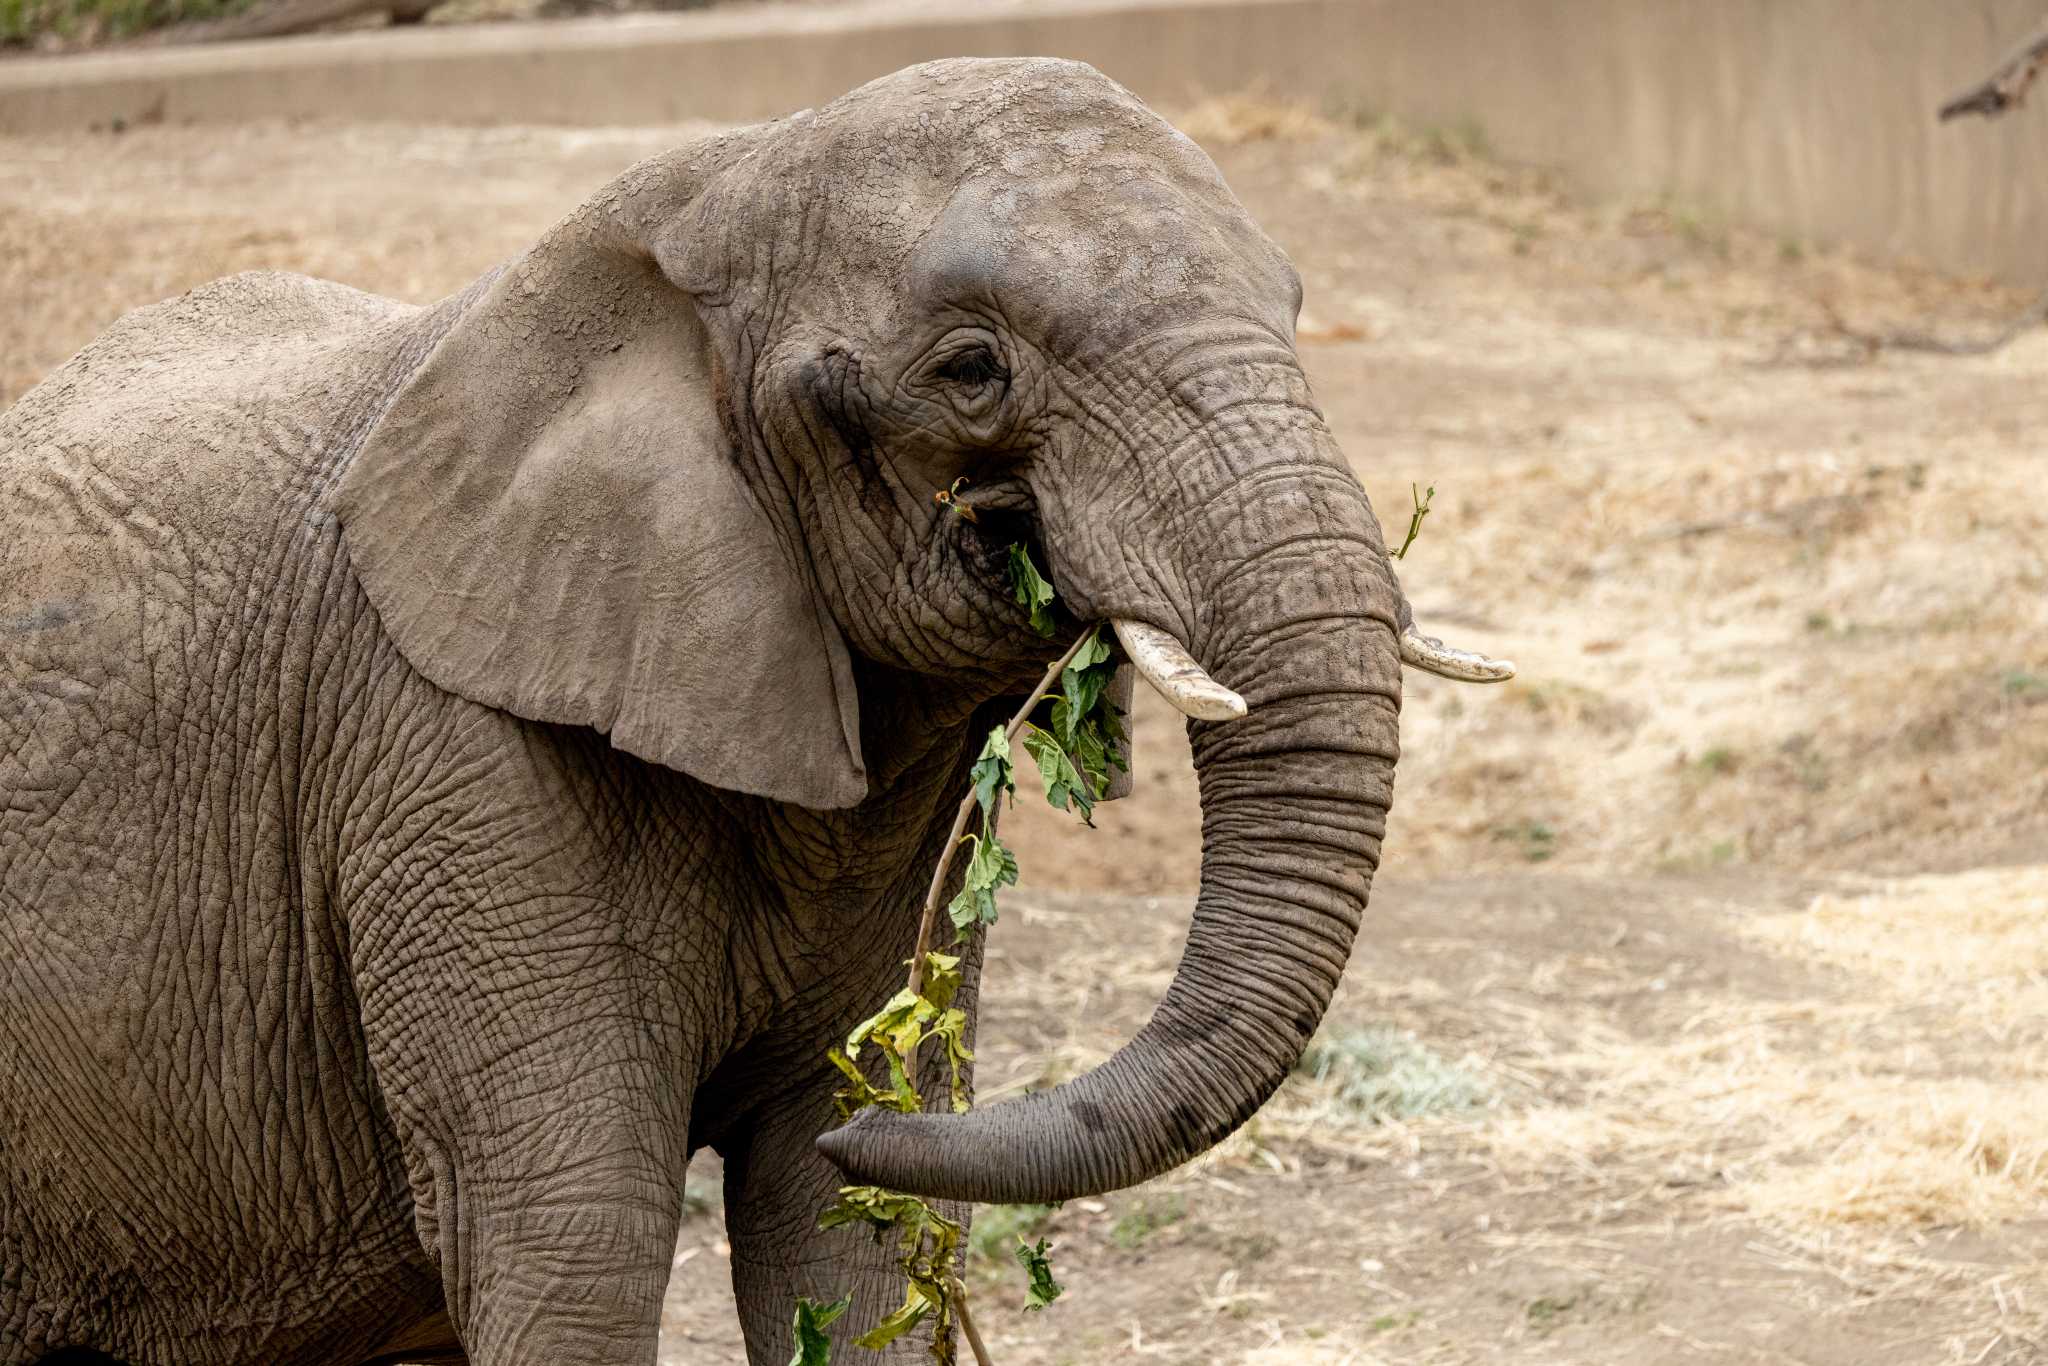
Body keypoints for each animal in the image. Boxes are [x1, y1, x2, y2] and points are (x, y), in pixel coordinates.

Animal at [0, 56, 1515, 1366]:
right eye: (973, 370)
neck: (701, 200)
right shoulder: (445, 757)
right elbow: (572, 1239)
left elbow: (840, 1223)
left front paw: (855, 1139)